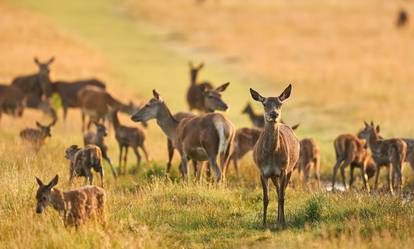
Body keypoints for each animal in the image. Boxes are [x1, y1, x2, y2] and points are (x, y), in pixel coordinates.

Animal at [247, 84, 300, 227]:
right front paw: (264, 223)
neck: (270, 157)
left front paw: (283, 223)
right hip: (274, 176)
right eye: (264, 104)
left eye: (280, 103)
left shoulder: (283, 169)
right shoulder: (262, 172)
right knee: (277, 190)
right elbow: (265, 198)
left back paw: (280, 220)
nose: (274, 114)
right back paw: (276, 219)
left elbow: (282, 197)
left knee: (282, 192)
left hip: (290, 169)